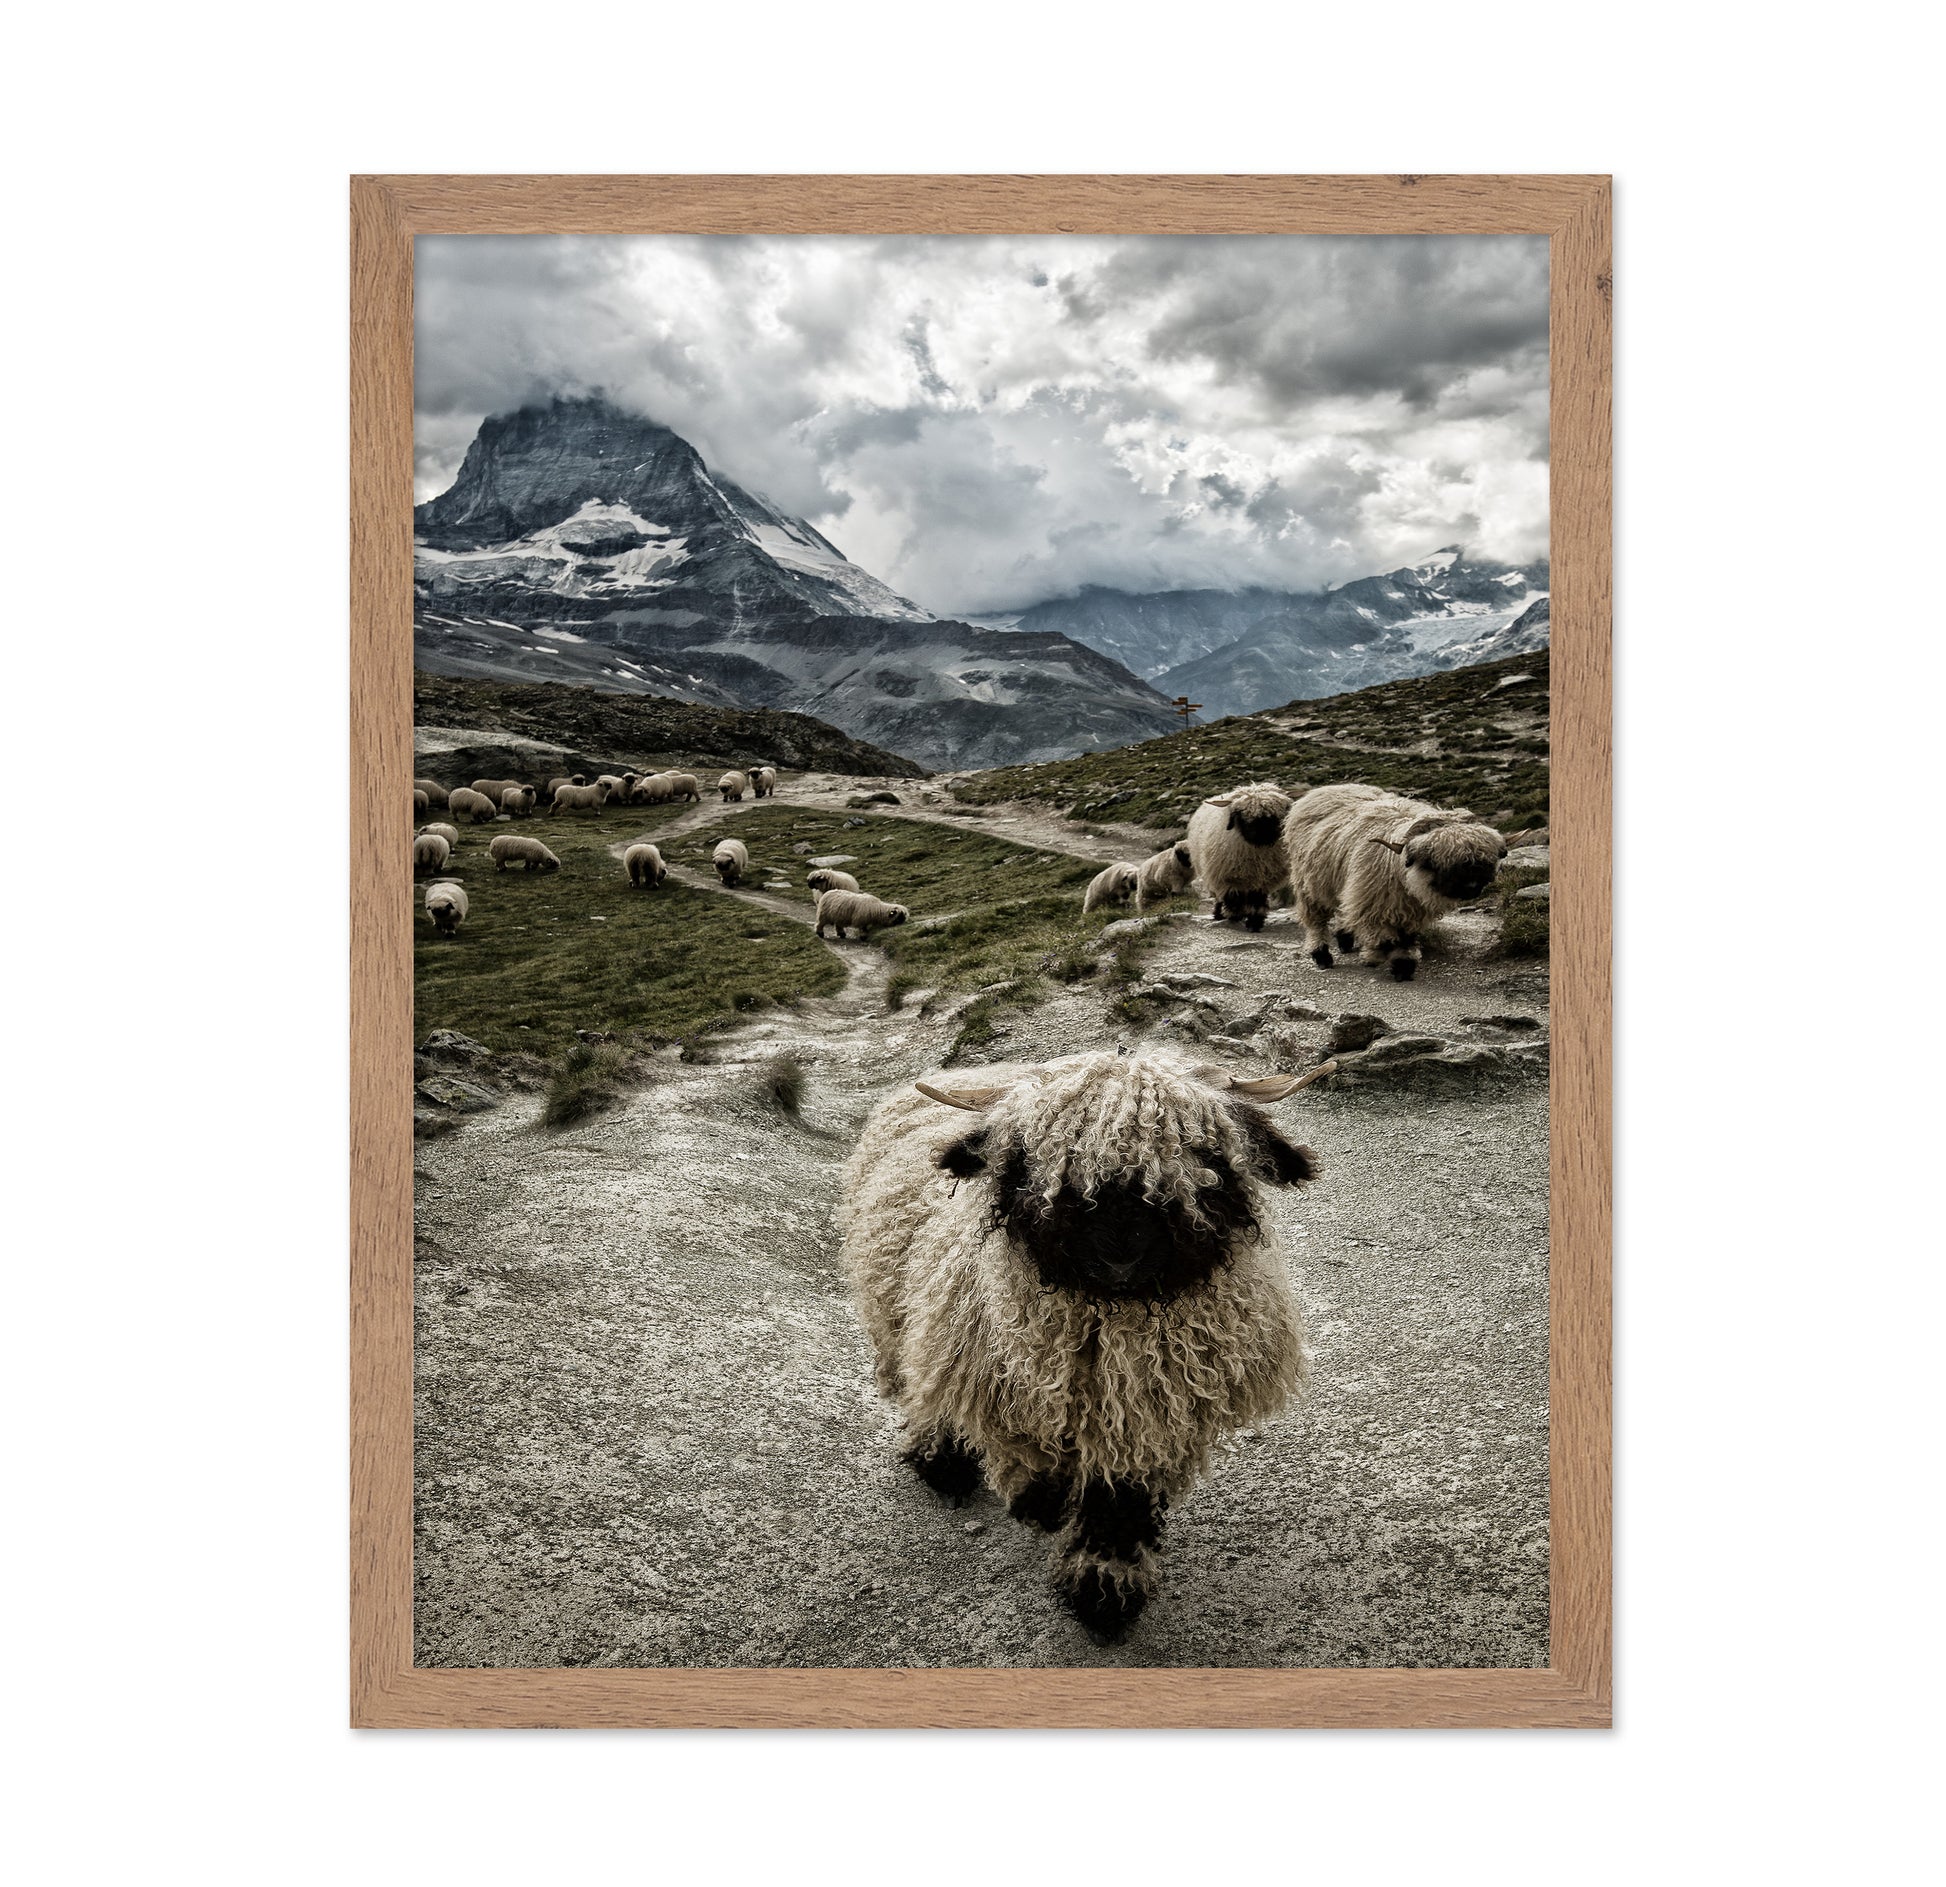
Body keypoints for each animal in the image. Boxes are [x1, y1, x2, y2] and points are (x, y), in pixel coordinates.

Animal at [839, 1050, 1333, 1641]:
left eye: (1207, 1155)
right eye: (1038, 1159)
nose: (1120, 1254)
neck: (1112, 1327)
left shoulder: (1148, 1419)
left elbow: (1118, 1504)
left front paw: (1105, 1592)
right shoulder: (1011, 1385)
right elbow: (1033, 1462)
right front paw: (1043, 1507)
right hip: (908, 1317)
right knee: (925, 1383)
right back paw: (941, 1458)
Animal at [1185, 782, 1294, 931]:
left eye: (1274, 815)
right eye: (1242, 814)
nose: (1263, 835)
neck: (1257, 853)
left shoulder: (1262, 881)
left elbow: (1256, 901)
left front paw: (1254, 922)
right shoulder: (1229, 877)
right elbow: (1233, 898)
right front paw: (1235, 916)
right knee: (1220, 897)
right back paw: (1219, 914)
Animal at [1284, 783, 1509, 980]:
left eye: (1484, 863)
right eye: (1437, 863)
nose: (1472, 888)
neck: (1402, 874)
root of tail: (1323, 789)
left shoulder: (1411, 911)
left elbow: (1406, 940)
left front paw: (1403, 967)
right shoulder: (1372, 904)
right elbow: (1385, 941)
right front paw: (1373, 957)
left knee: (1341, 910)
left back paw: (1344, 939)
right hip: (1309, 886)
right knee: (1316, 923)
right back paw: (1321, 955)